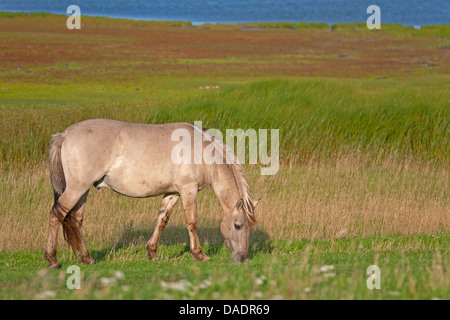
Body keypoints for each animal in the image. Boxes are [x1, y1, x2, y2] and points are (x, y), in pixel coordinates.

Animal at [44, 117, 260, 268]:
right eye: (237, 226)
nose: (243, 258)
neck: (202, 151)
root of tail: (64, 134)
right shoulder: (188, 189)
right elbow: (192, 222)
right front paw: (199, 254)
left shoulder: (173, 193)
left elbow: (162, 220)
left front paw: (152, 252)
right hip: (77, 188)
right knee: (56, 215)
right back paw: (52, 259)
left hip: (82, 191)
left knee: (76, 220)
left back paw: (86, 258)